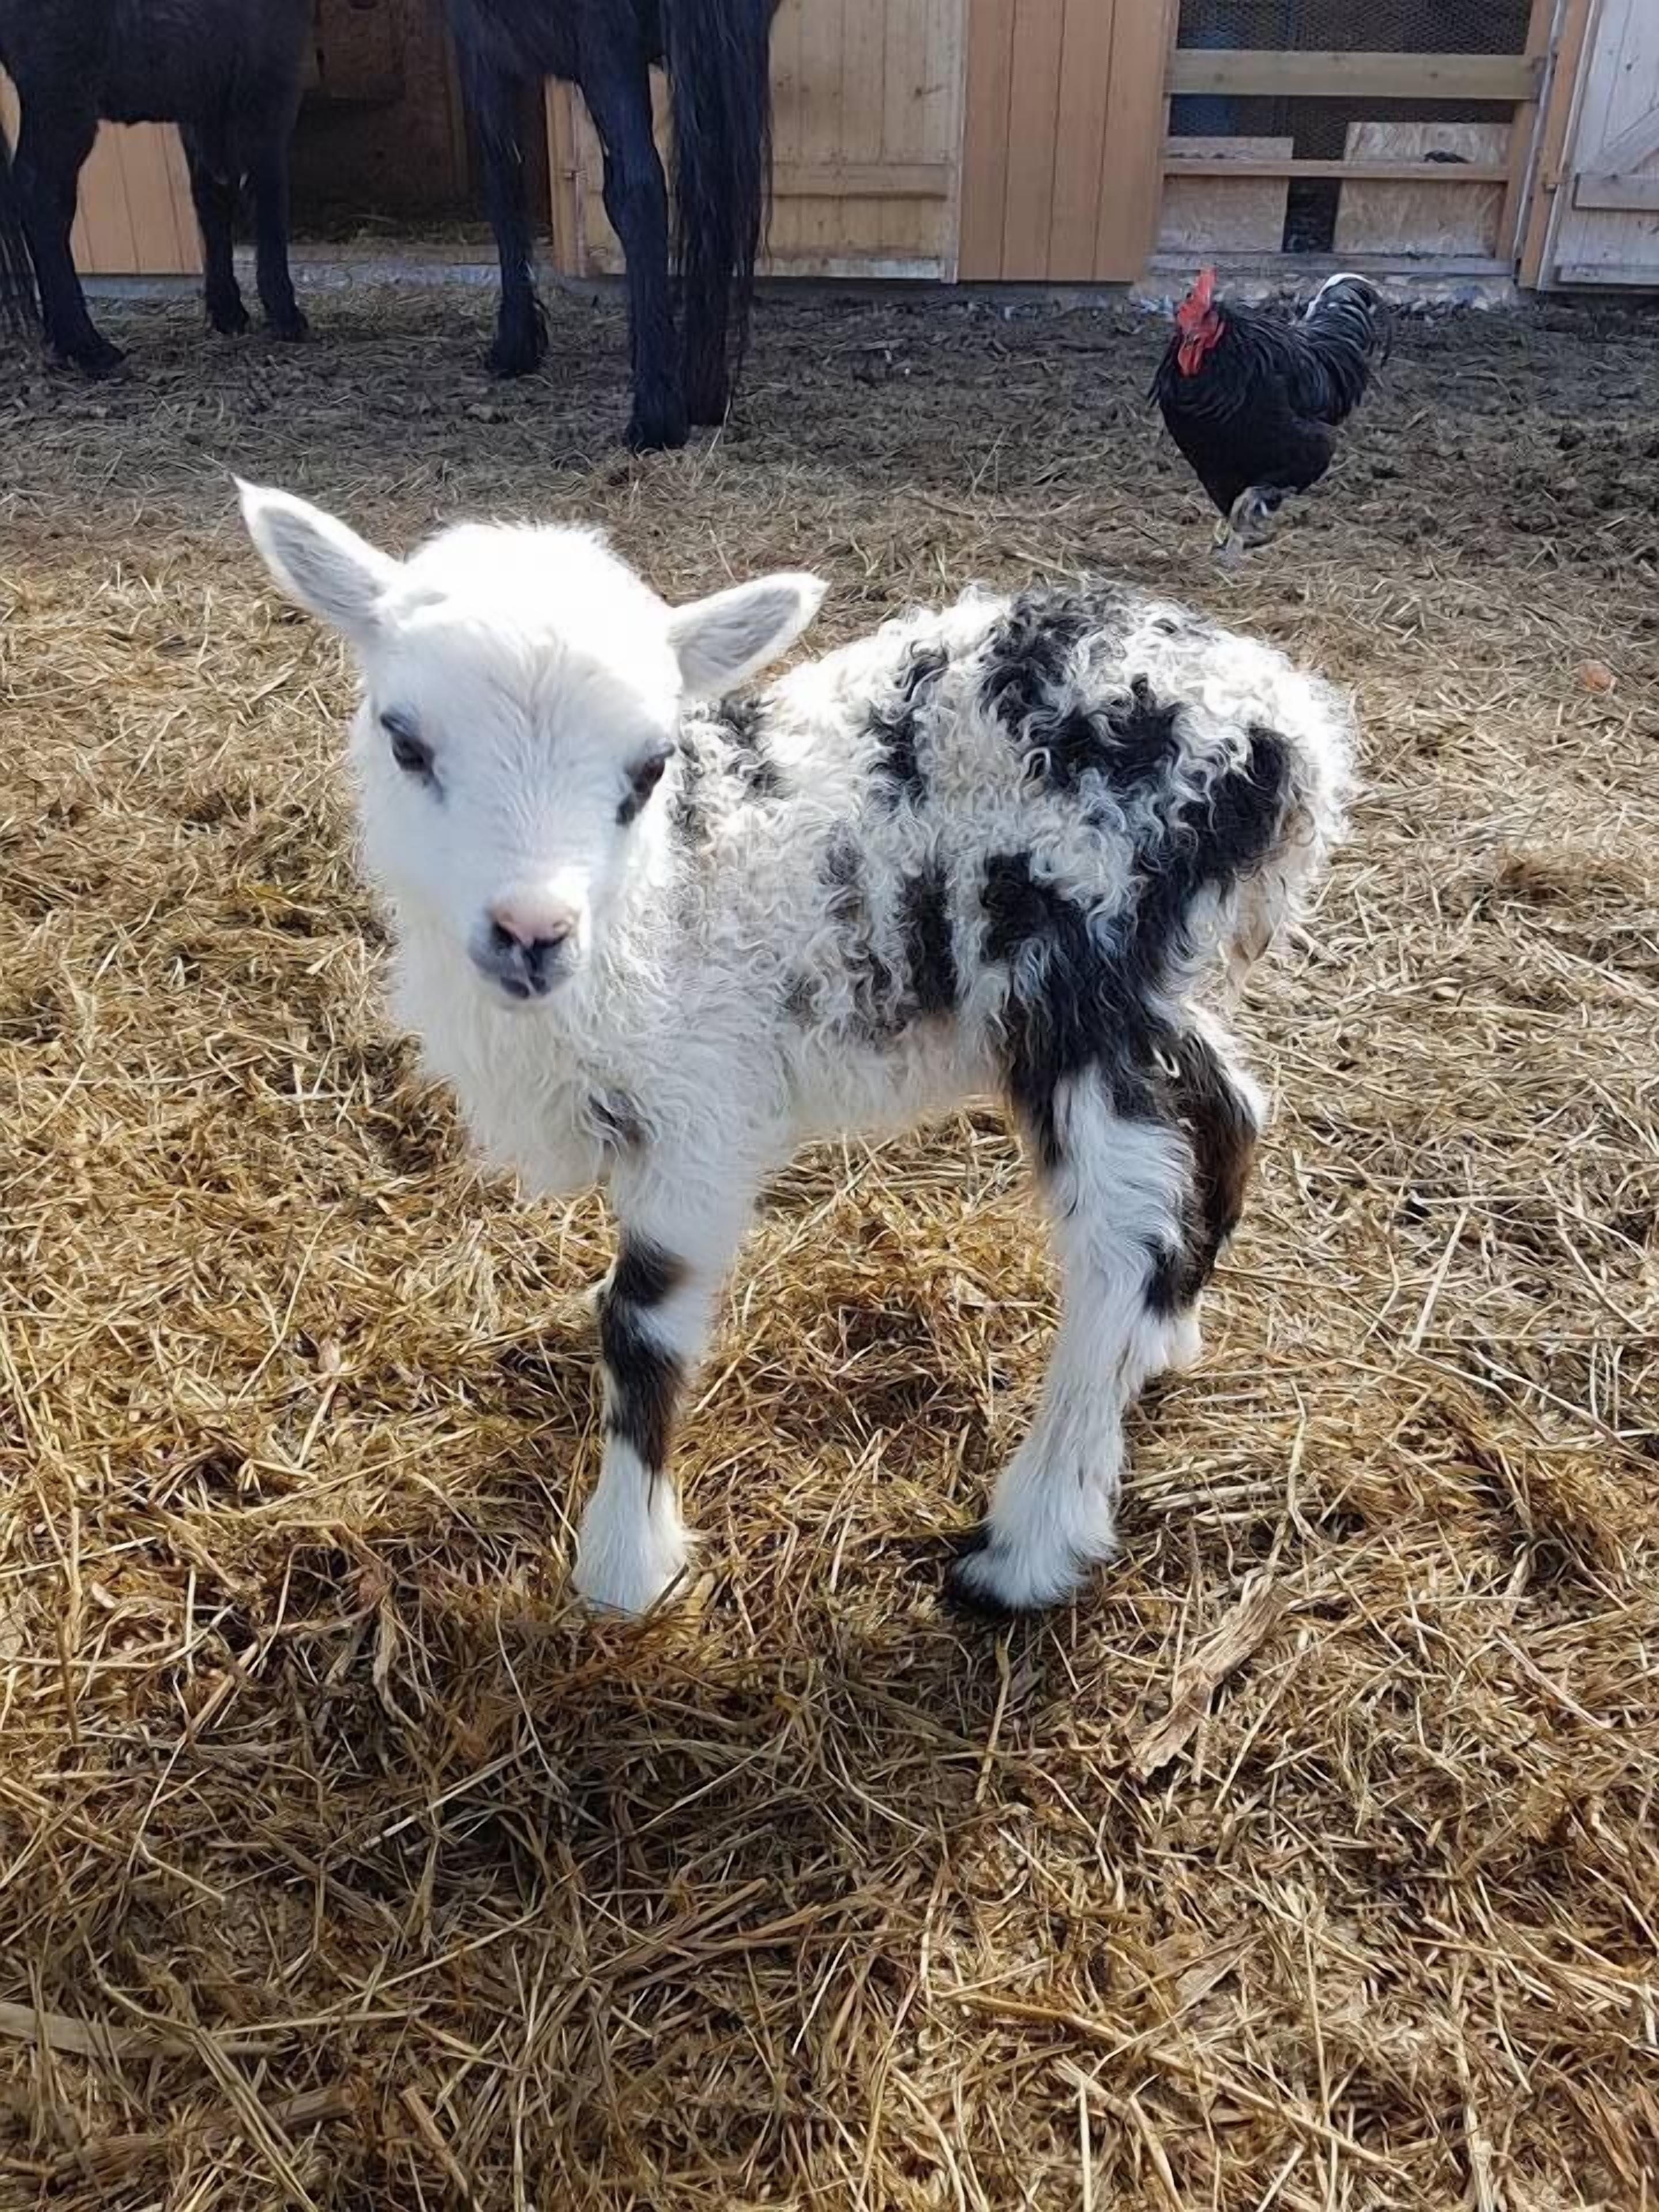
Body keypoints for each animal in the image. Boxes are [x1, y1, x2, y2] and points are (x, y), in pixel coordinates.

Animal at [237, 482, 1353, 1618]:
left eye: (651, 767)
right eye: (405, 742)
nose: (531, 933)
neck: (669, 892)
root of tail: (1284, 727)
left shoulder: (702, 1108)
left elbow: (646, 1323)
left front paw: (625, 1566)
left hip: (1072, 959)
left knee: (1120, 1236)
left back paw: (1031, 1541)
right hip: (1138, 980)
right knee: (1228, 1100)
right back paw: (1165, 1337)